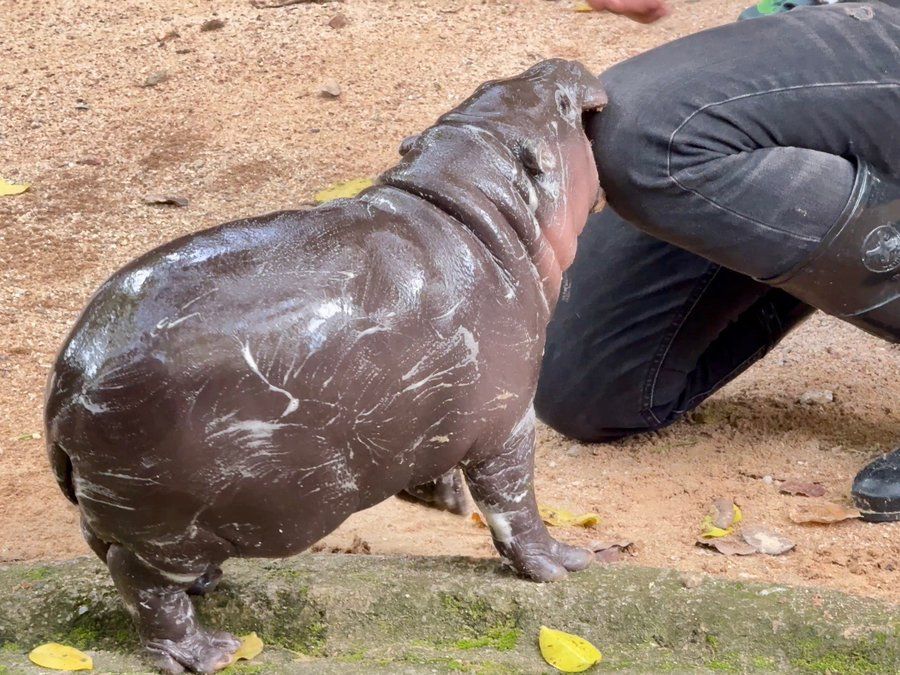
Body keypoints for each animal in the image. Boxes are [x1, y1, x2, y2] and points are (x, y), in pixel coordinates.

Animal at [42, 60, 604, 672]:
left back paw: (206, 594)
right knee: (139, 582)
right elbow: (515, 505)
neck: (471, 200)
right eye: (562, 107)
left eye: (489, 88)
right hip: (165, 529)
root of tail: (68, 383)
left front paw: (446, 500)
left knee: (110, 554)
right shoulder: (508, 422)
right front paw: (567, 563)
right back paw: (209, 652)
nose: (558, 64)